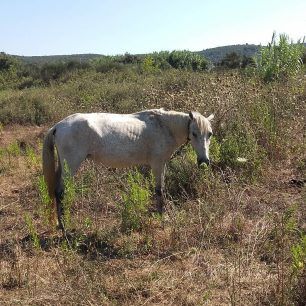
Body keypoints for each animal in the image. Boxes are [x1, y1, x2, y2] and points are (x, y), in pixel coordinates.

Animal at [43, 108, 214, 227]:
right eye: (194, 133)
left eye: (210, 134)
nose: (204, 161)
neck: (164, 126)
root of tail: (58, 126)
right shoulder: (157, 164)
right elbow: (159, 190)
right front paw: (161, 217)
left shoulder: (162, 164)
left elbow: (161, 189)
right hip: (71, 166)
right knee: (60, 192)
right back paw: (64, 226)